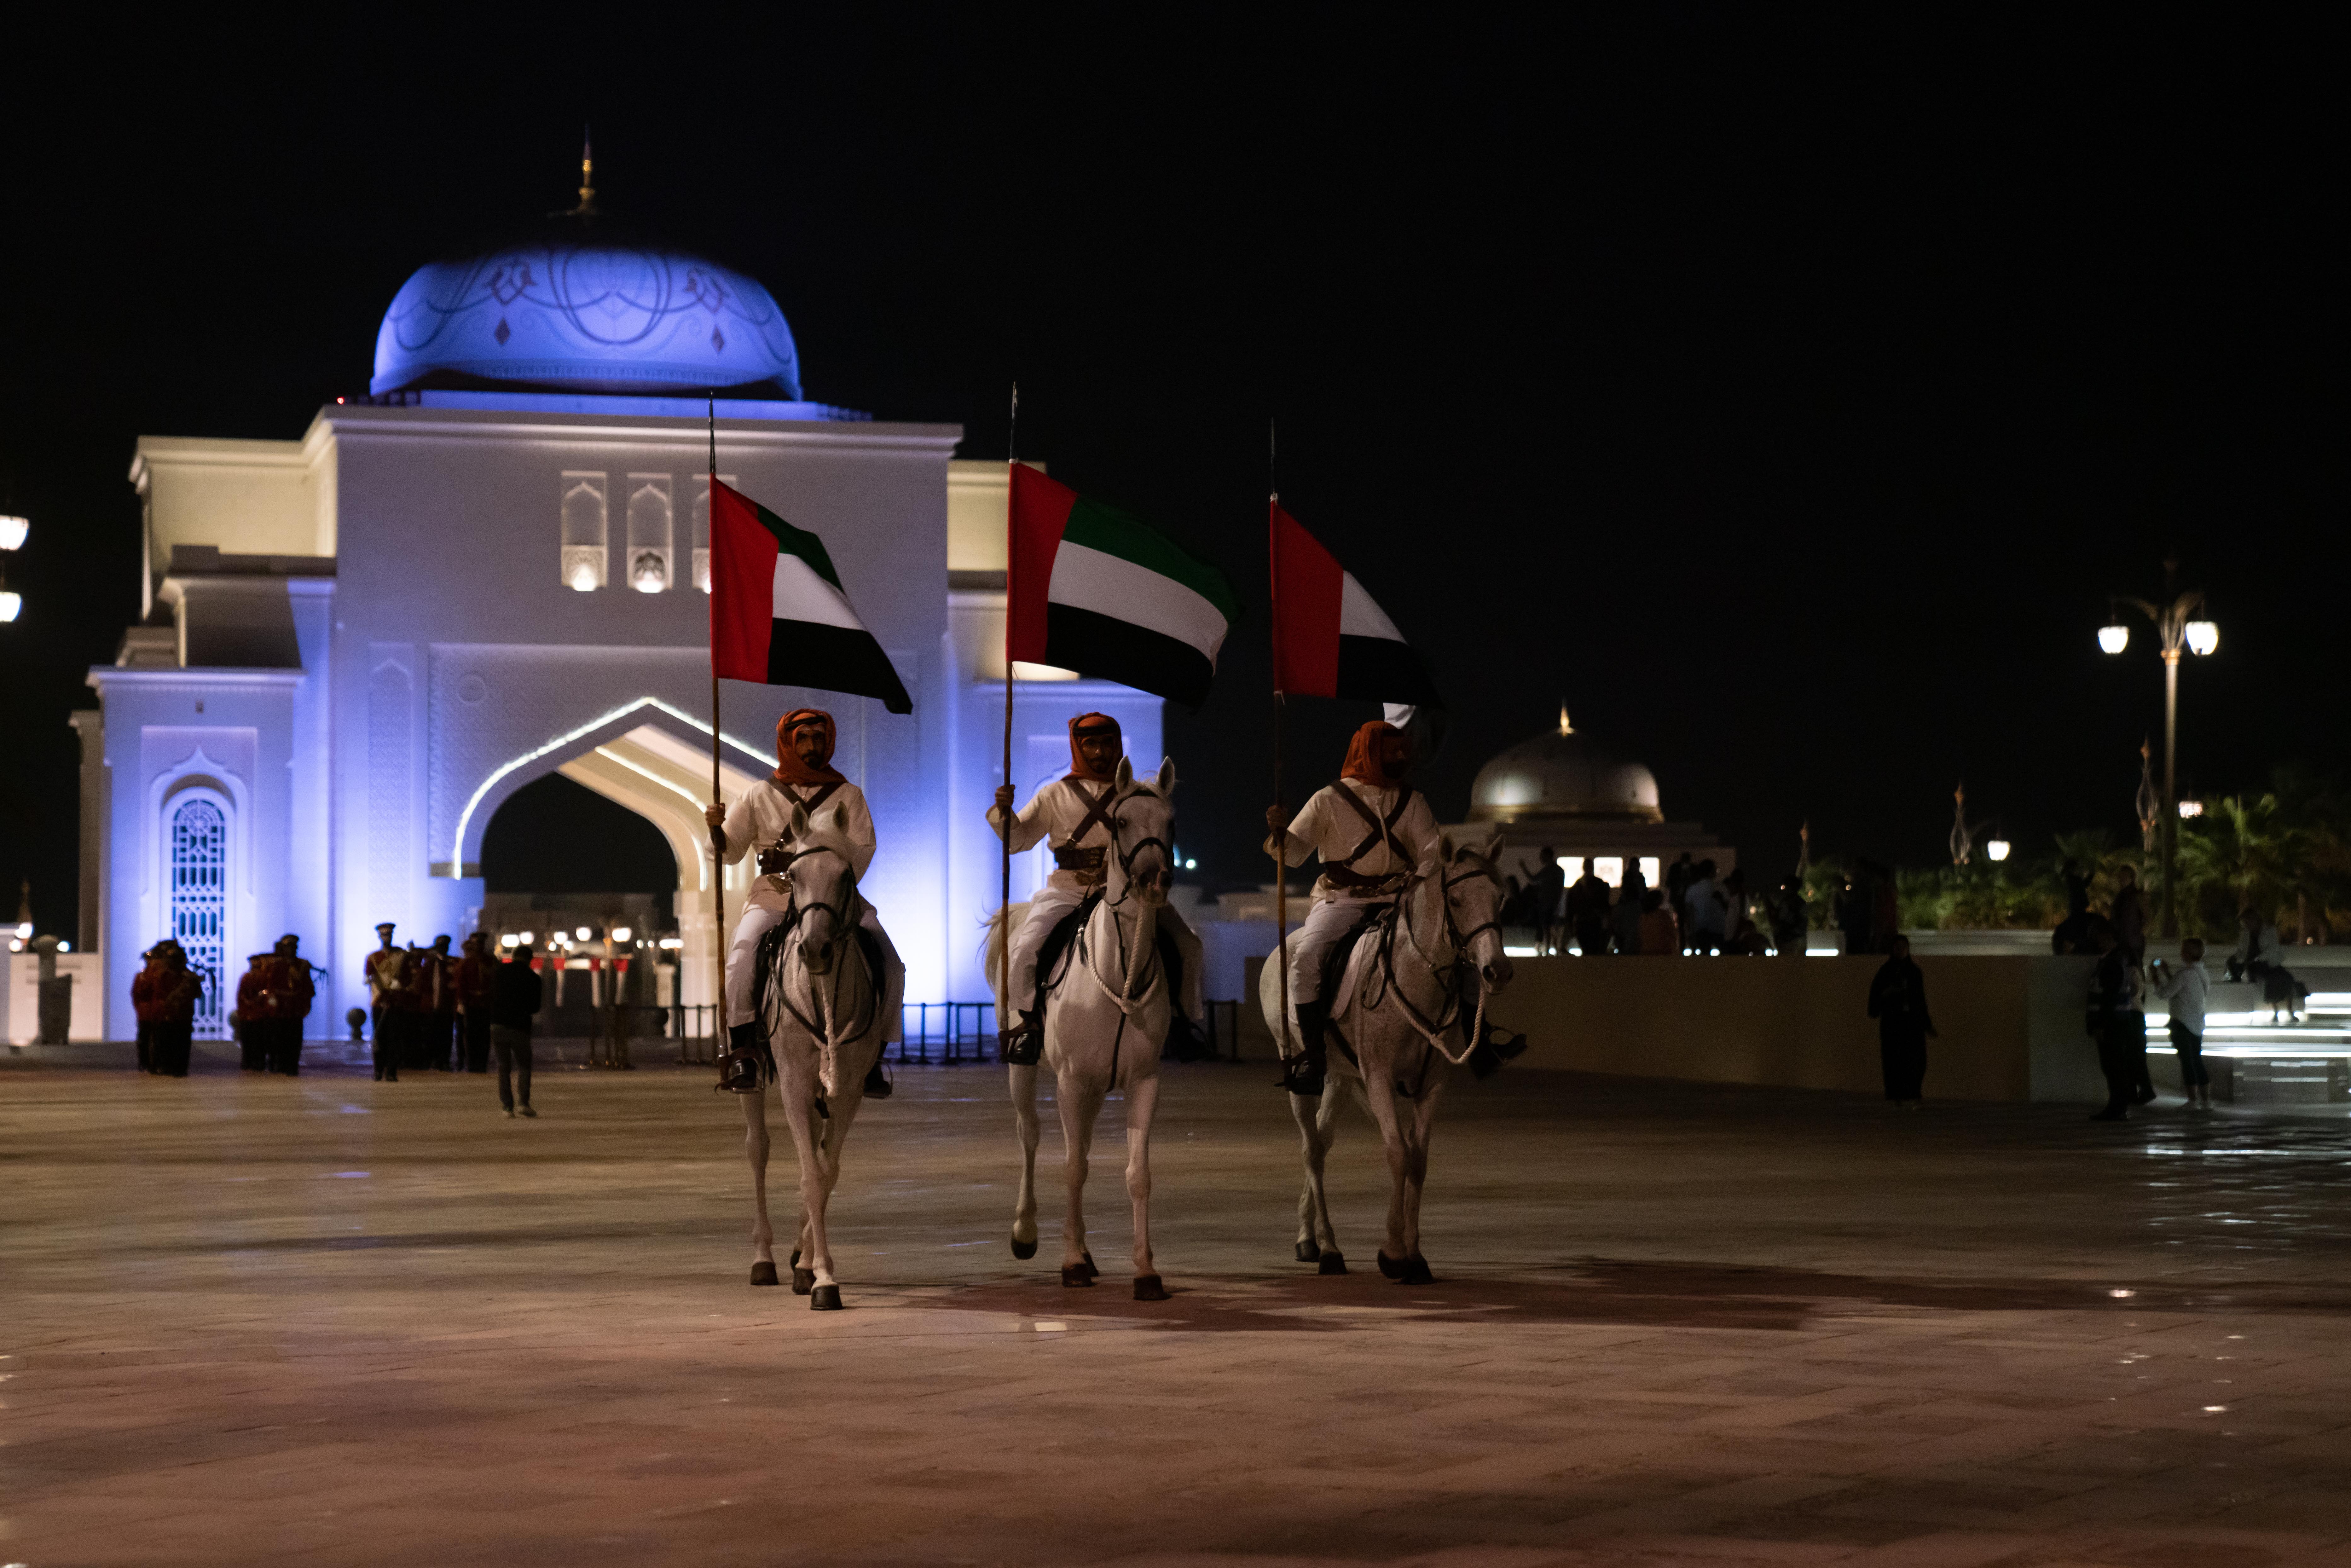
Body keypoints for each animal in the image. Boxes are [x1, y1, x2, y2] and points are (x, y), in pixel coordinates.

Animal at [738, 799, 884, 1316]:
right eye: (795, 874)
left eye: (844, 875)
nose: (815, 949)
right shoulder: (795, 1084)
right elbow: (808, 1176)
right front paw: (823, 1278)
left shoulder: (850, 1088)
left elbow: (827, 1171)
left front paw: (811, 1268)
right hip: (755, 1073)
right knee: (757, 1148)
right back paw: (763, 1258)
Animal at [987, 757, 1175, 1298]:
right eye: (1121, 820)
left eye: (1170, 822)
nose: (1152, 880)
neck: (1119, 971)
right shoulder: (1070, 1081)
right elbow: (1071, 1168)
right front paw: (1069, 1261)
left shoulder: (1142, 1081)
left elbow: (1138, 1173)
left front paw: (1145, 1269)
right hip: (1027, 1068)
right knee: (1030, 1133)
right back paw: (1026, 1232)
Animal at [1260, 842, 1514, 1279]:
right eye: (1456, 900)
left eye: (1499, 898)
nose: (1496, 970)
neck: (1416, 977)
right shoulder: (1379, 1077)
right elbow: (1397, 1153)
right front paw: (1393, 1253)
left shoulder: (1431, 1085)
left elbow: (1418, 1159)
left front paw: (1415, 1256)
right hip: (1298, 1069)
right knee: (1311, 1150)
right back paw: (1329, 1249)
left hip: (1340, 1078)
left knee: (1322, 1144)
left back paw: (1310, 1239)